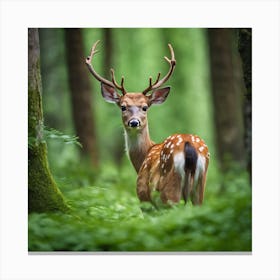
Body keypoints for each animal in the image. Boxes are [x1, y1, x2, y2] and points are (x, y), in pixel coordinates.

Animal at [85, 39, 210, 207]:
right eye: (123, 106)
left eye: (145, 107)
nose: (134, 122)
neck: (143, 158)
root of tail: (189, 147)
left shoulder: (143, 196)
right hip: (200, 186)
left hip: (168, 191)